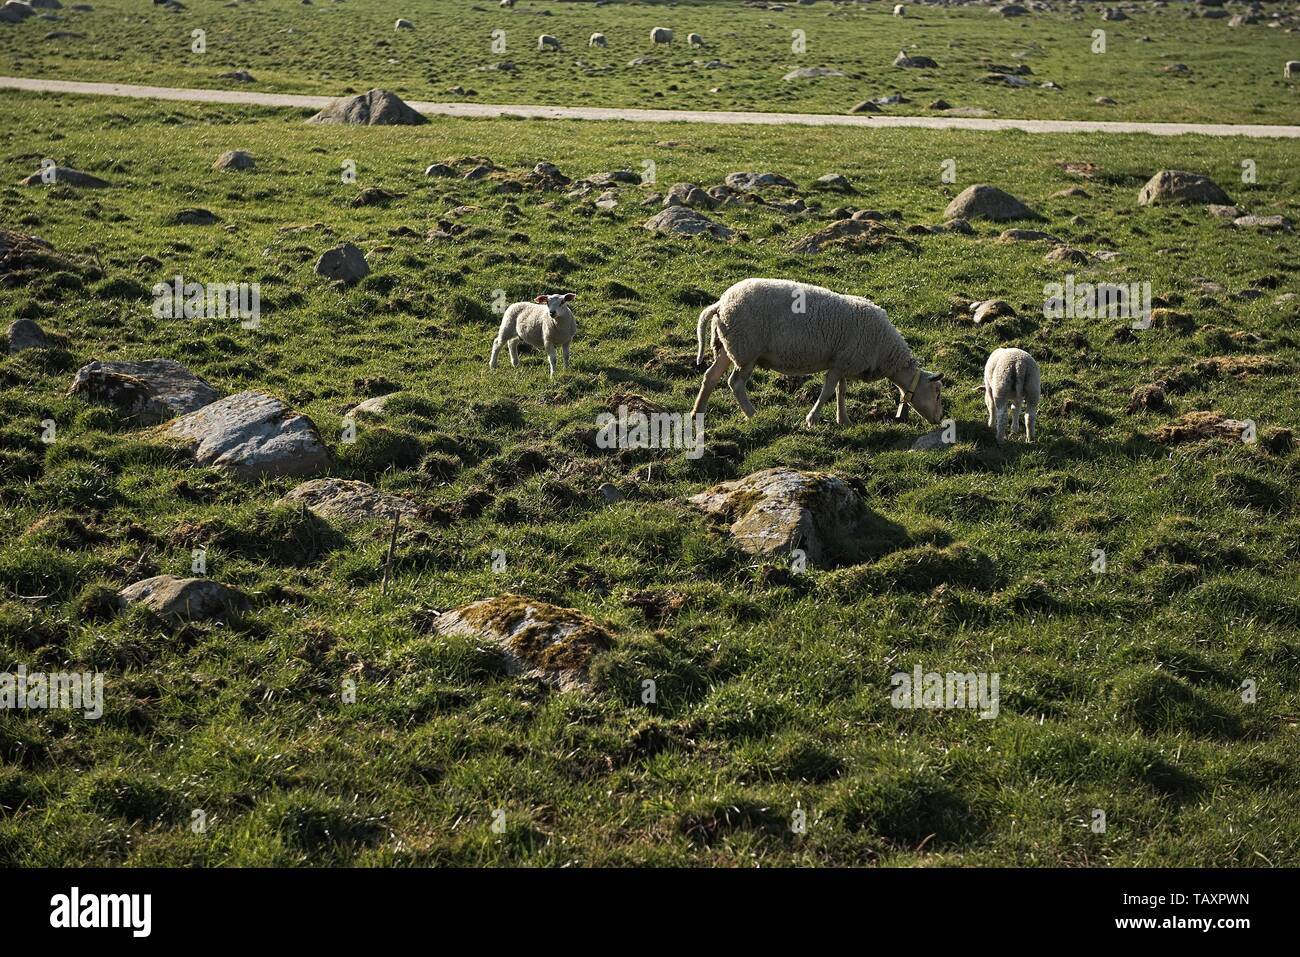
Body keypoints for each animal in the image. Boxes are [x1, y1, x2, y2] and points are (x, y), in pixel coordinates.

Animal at [692, 278, 945, 427]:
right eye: (937, 393)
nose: (939, 419)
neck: (885, 350)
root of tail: (720, 304)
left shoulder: (843, 361)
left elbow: (841, 391)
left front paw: (844, 420)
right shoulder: (840, 364)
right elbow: (827, 392)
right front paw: (812, 419)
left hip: (729, 347)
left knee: (710, 376)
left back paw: (698, 412)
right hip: (747, 351)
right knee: (735, 383)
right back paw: (753, 414)